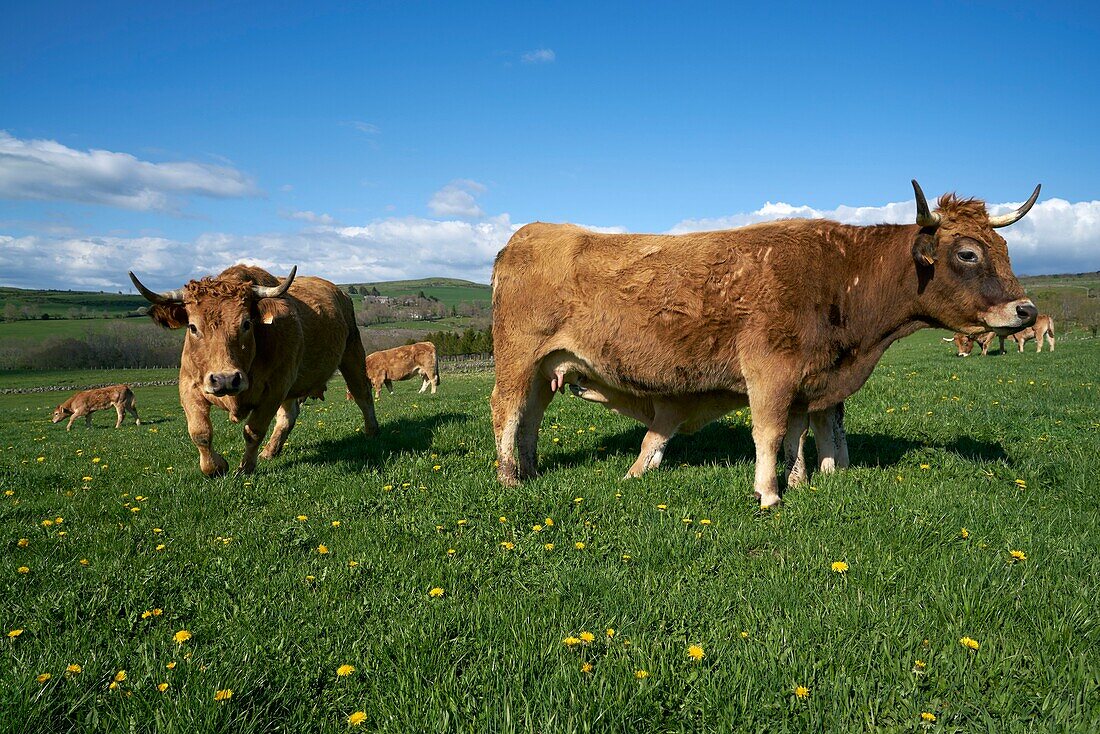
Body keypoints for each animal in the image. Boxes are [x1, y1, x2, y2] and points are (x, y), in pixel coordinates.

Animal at [129, 264, 374, 477]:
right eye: (192, 327)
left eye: (246, 324)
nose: (225, 379)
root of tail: (341, 293)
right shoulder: (189, 385)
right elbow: (200, 432)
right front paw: (216, 467)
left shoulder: (275, 389)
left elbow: (253, 430)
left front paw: (245, 467)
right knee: (288, 416)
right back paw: (270, 451)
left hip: (352, 354)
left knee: (362, 395)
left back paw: (372, 432)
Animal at [490, 180, 1038, 508]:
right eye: (967, 253)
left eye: (1005, 248)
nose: (1026, 311)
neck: (840, 277)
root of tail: (526, 234)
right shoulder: (770, 371)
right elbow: (770, 432)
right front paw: (769, 494)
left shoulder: (809, 378)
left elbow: (803, 432)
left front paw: (802, 481)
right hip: (518, 356)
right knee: (507, 410)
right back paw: (508, 478)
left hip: (548, 366)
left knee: (532, 415)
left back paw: (531, 470)